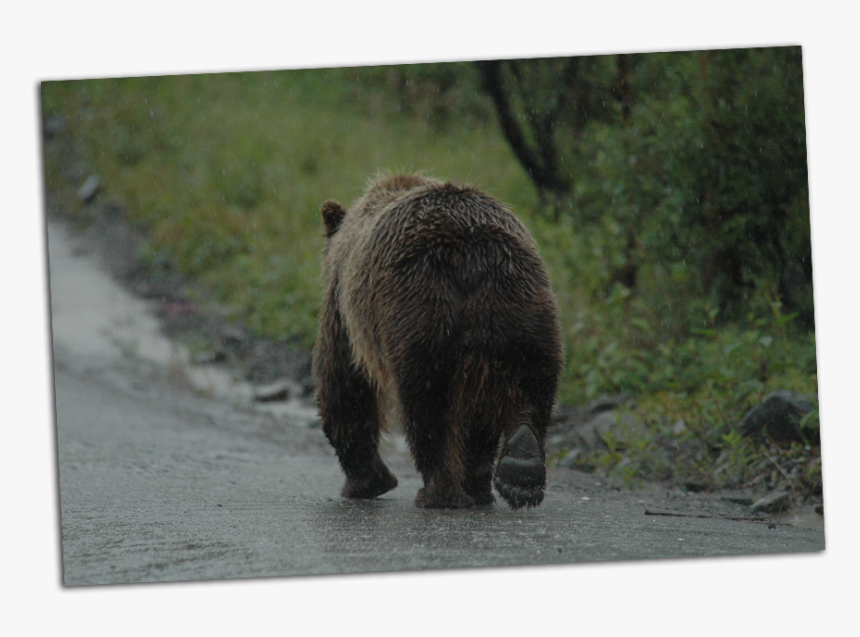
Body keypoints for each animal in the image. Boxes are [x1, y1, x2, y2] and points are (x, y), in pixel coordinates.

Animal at [312, 174, 562, 509]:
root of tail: (472, 254)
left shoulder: (343, 310)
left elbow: (344, 386)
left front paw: (366, 481)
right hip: (523, 305)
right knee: (530, 384)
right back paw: (519, 471)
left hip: (420, 309)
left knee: (428, 403)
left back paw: (438, 491)